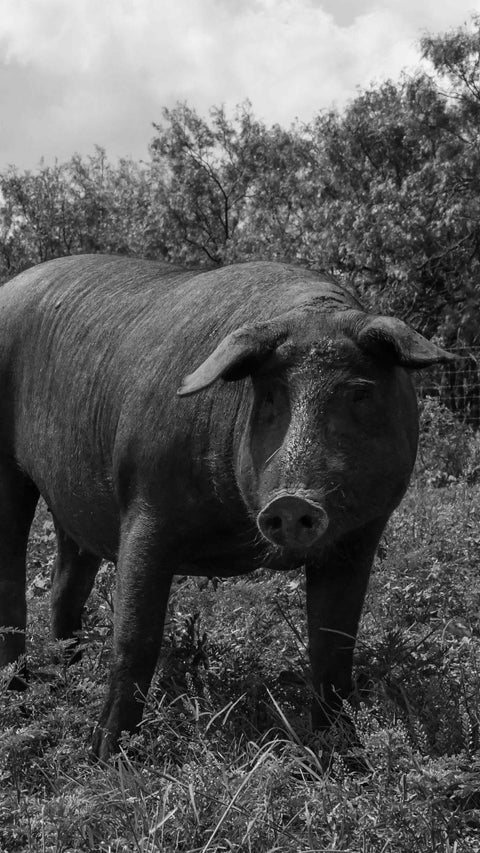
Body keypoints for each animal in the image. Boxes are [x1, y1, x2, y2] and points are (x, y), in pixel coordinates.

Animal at [0, 254, 453, 759]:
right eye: (270, 394)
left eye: (359, 392)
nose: (292, 500)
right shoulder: (145, 503)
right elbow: (135, 636)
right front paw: (107, 758)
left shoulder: (363, 532)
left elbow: (334, 645)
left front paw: (344, 755)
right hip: (9, 473)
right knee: (12, 586)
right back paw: (20, 699)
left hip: (70, 510)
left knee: (65, 589)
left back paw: (66, 683)